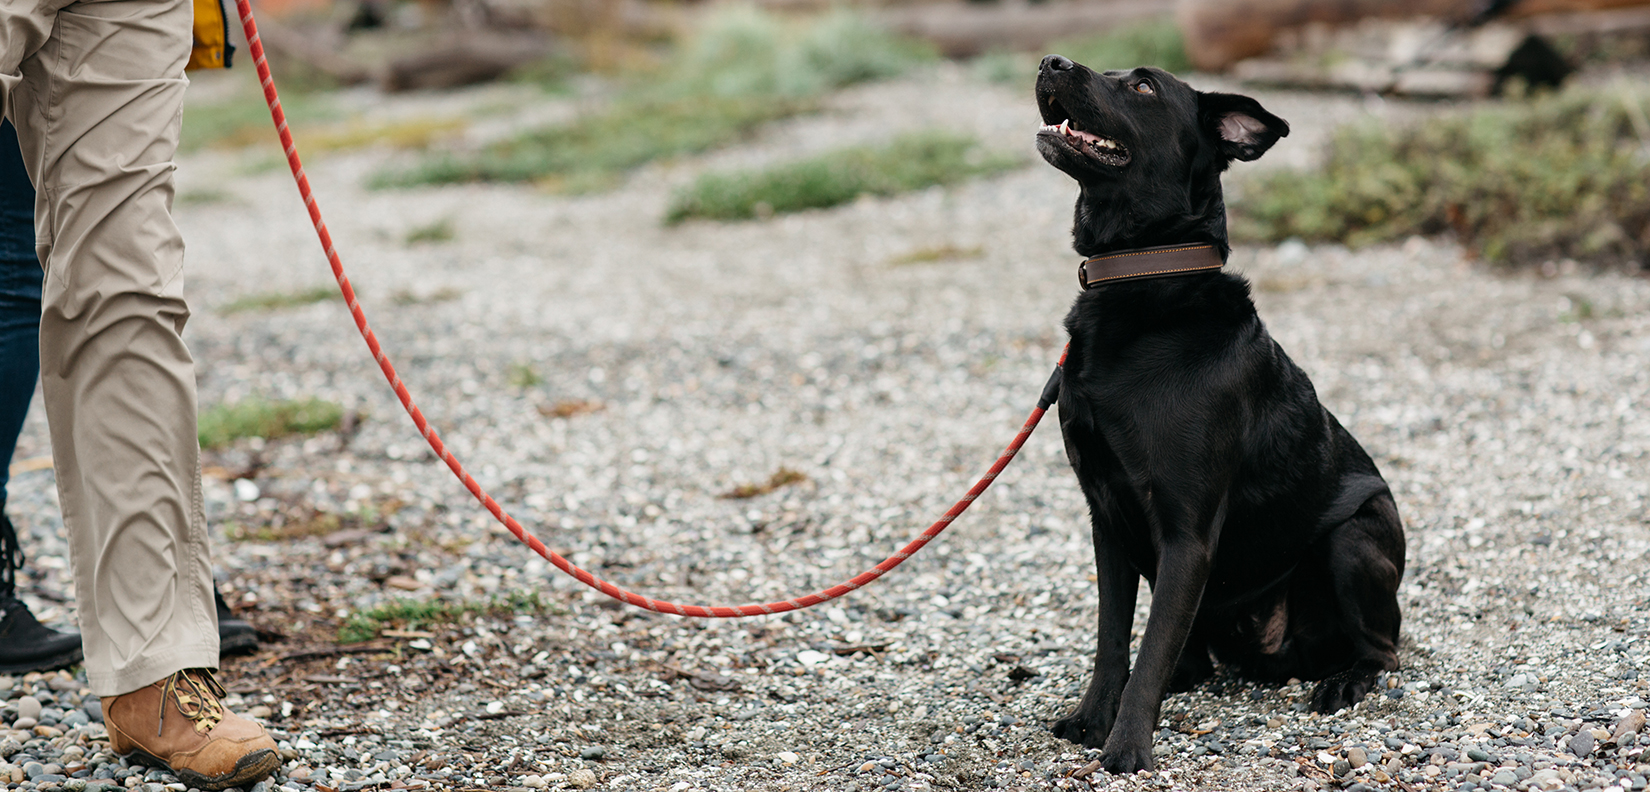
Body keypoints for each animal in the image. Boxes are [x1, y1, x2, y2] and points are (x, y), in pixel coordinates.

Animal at [1029, 57, 1405, 772]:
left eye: (1142, 86)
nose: (1050, 63)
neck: (1142, 285)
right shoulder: (1105, 517)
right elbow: (1113, 638)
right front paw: (1093, 719)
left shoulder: (1188, 531)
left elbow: (1148, 647)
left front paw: (1126, 749)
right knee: (1191, 657)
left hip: (1355, 539)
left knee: (1385, 649)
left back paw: (1344, 682)